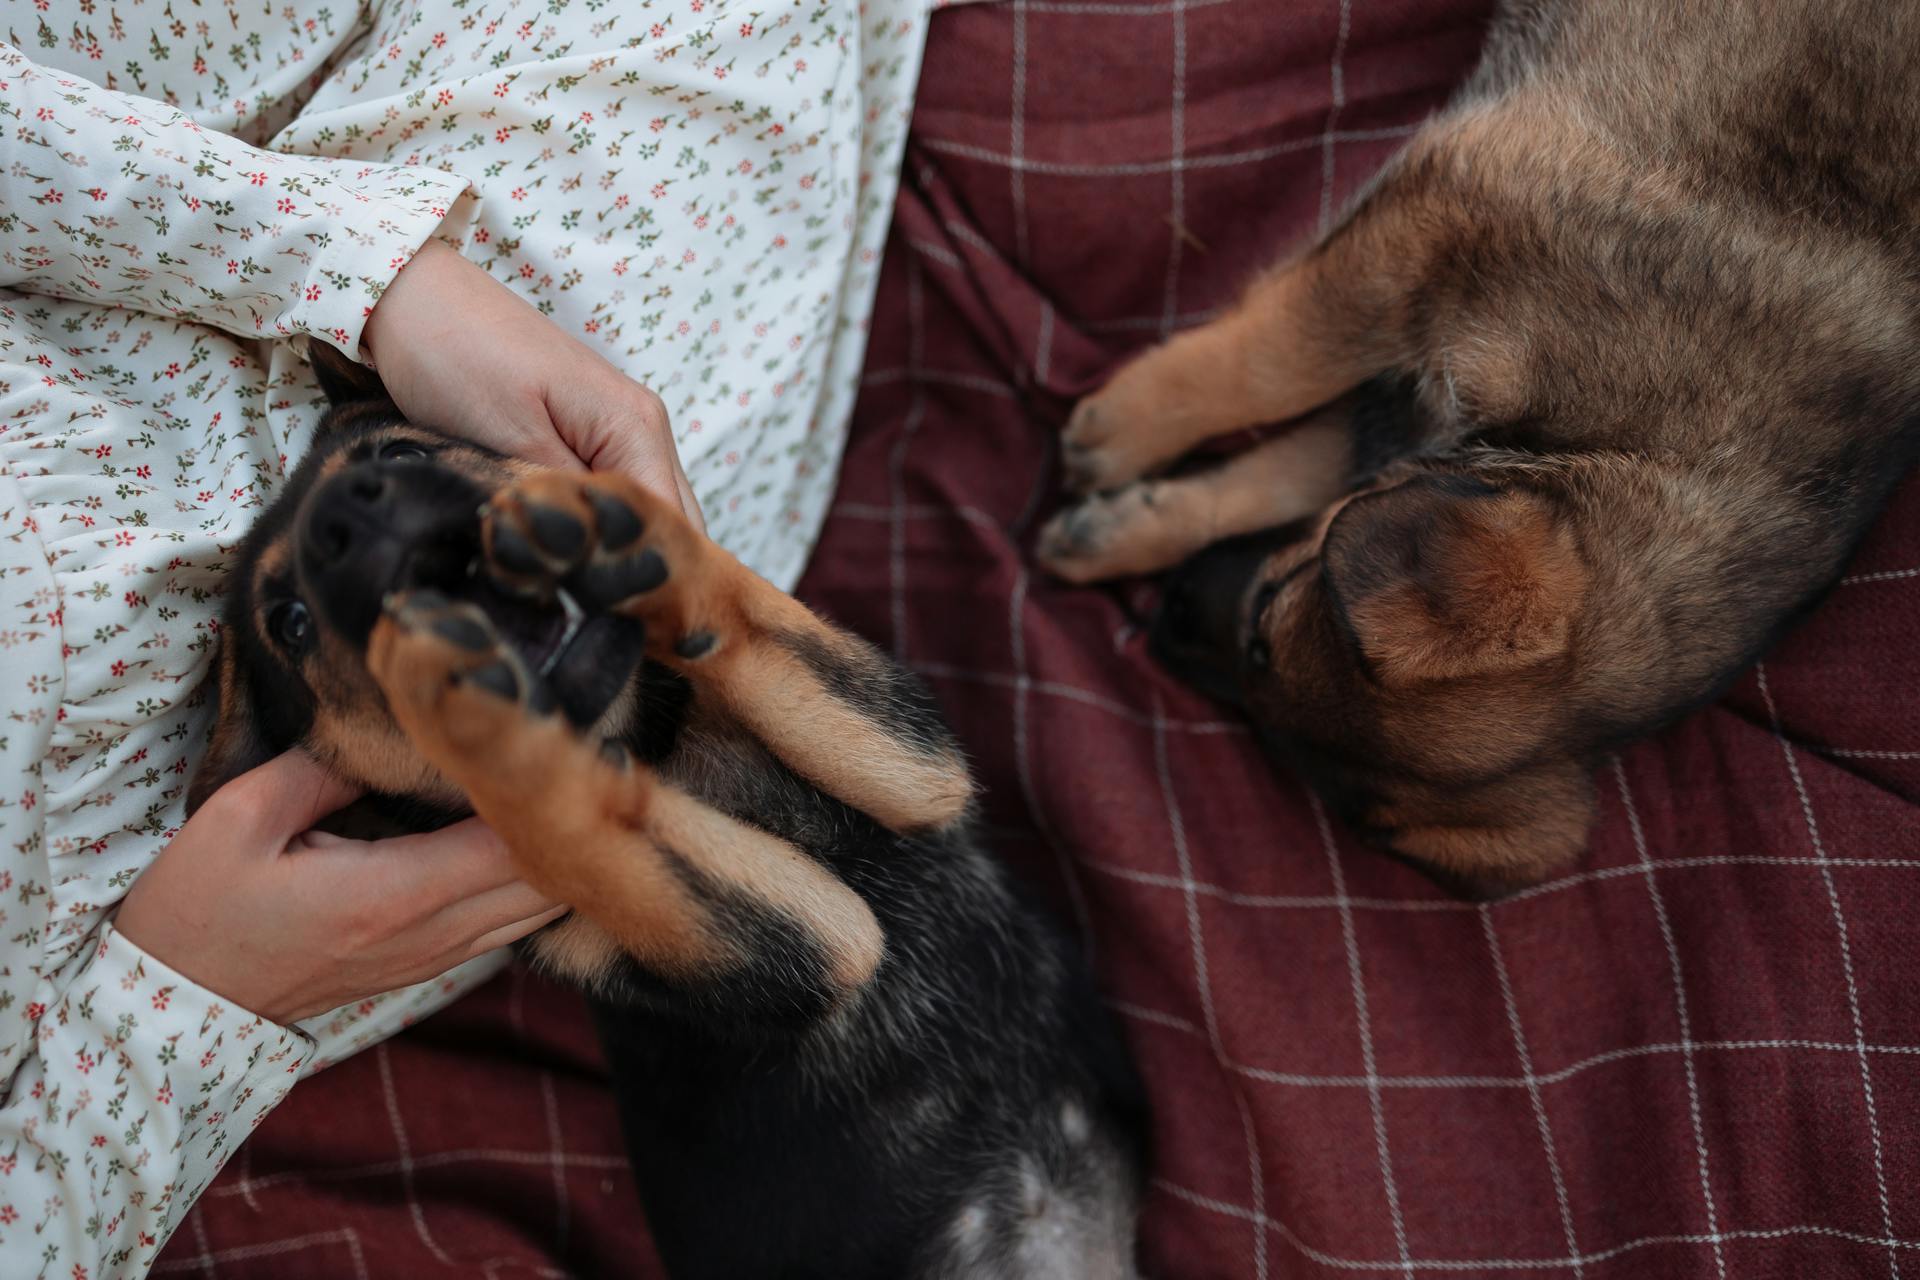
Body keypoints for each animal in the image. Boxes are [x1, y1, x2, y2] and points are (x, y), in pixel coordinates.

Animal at [194, 351, 1144, 1280]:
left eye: (400, 453)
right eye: (291, 623)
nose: (343, 516)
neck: (650, 750)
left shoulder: (916, 763)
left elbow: (743, 614)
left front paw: (632, 534)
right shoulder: (816, 943)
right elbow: (573, 820)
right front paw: (464, 708)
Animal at [1044, 0, 1920, 898]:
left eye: (1268, 716)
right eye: (1264, 621)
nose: (1161, 624)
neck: (1647, 452)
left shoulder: (1403, 412)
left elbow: (1278, 471)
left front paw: (1117, 528)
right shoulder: (1437, 232)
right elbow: (1278, 362)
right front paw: (1125, 429)